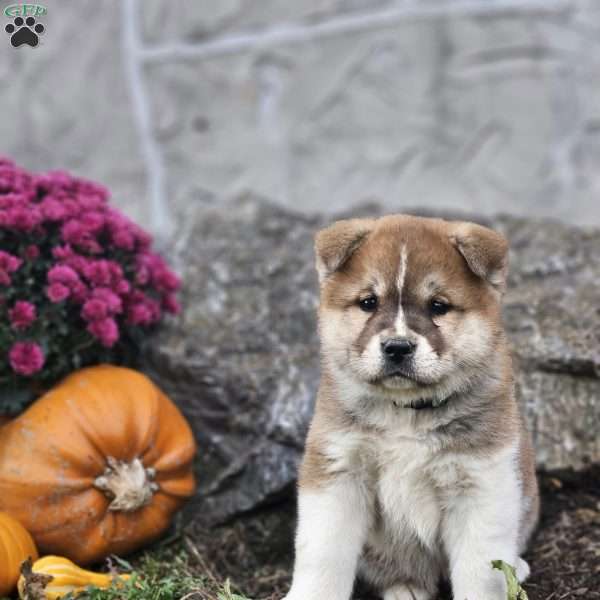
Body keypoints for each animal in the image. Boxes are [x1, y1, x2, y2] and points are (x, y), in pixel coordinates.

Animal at [284, 216, 540, 600]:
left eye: (438, 306)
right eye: (368, 302)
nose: (397, 347)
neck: (406, 412)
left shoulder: (480, 483)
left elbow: (481, 571)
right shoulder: (338, 472)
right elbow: (323, 555)